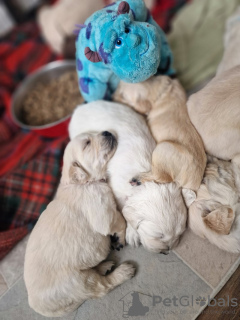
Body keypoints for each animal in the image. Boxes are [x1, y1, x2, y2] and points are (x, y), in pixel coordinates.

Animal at [23, 131, 135, 316]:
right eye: (87, 143)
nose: (106, 131)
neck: (81, 182)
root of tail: (38, 306)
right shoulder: (102, 213)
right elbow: (119, 220)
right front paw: (120, 238)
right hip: (75, 281)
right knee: (101, 287)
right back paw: (123, 272)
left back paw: (104, 266)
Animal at [69, 101, 193, 254]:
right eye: (158, 236)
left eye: (180, 233)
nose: (166, 251)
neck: (146, 180)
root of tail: (80, 107)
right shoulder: (117, 192)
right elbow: (124, 211)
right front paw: (132, 233)